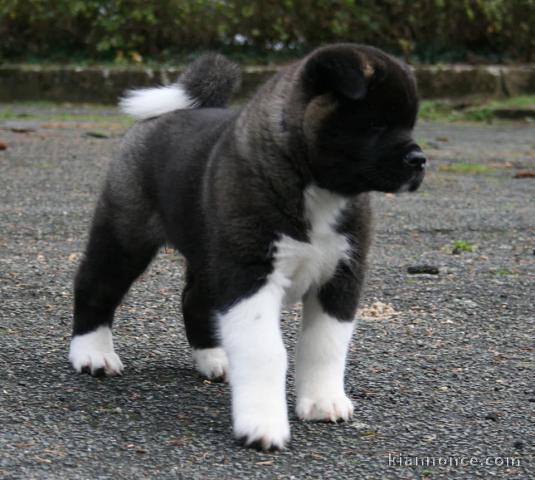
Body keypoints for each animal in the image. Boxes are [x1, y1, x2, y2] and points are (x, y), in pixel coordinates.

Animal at [68, 45, 428, 450]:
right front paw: (262, 424)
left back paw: (213, 358)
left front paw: (323, 400)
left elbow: (326, 344)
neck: (312, 186)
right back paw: (92, 353)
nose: (419, 161)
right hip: (127, 235)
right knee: (97, 285)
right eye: (375, 124)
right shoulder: (250, 276)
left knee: (194, 300)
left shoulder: (340, 276)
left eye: (409, 125)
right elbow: (264, 351)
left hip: (210, 257)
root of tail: (168, 114)